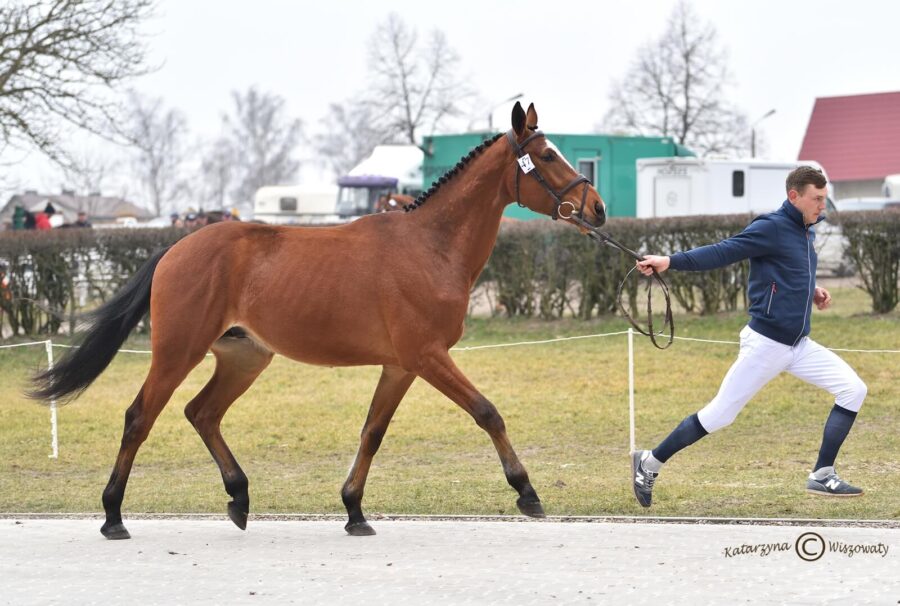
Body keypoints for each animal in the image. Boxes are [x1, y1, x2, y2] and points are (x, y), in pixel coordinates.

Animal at [31, 102, 604, 540]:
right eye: (546, 154)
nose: (596, 209)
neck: (431, 246)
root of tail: (174, 249)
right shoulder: (428, 356)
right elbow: (488, 412)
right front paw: (527, 492)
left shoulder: (401, 366)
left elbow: (372, 432)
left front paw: (354, 511)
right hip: (177, 353)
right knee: (140, 417)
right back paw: (113, 516)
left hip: (244, 357)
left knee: (202, 413)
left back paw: (239, 499)